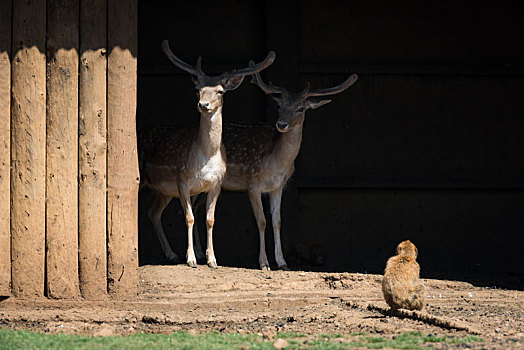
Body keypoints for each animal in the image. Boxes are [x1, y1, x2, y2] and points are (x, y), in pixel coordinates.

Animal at [139, 41, 278, 270]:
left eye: (220, 91)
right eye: (198, 90)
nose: (203, 105)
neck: (205, 156)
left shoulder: (216, 183)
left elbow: (210, 219)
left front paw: (212, 259)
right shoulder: (181, 179)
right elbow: (189, 217)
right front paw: (191, 259)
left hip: (164, 191)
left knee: (153, 212)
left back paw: (171, 255)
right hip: (146, 180)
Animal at [194, 65, 358, 270]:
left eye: (300, 108)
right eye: (280, 106)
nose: (282, 124)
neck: (277, 164)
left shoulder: (278, 187)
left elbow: (277, 220)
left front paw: (282, 262)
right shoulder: (253, 183)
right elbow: (262, 221)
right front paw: (264, 263)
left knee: (195, 207)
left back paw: (199, 254)